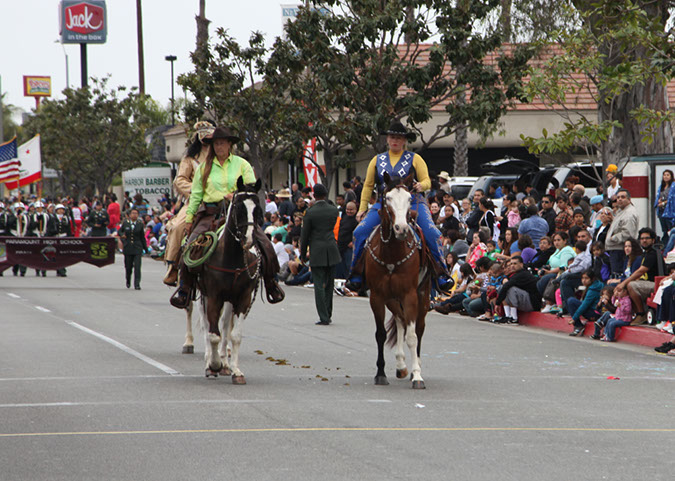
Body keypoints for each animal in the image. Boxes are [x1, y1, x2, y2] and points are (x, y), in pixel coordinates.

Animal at [195, 176, 264, 382]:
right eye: (239, 208)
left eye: (258, 210)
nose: (248, 240)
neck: (233, 260)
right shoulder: (214, 296)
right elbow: (213, 334)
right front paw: (214, 364)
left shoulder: (243, 298)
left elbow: (235, 335)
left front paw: (235, 370)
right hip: (202, 296)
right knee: (208, 326)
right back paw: (211, 360)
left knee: (225, 325)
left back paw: (225, 362)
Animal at [364, 172, 434, 390]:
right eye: (388, 198)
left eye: (410, 199)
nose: (401, 228)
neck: (391, 253)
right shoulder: (377, 296)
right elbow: (380, 334)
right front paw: (380, 374)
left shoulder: (410, 295)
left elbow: (412, 336)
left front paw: (417, 376)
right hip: (392, 299)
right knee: (400, 320)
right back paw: (402, 365)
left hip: (422, 296)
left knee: (418, 328)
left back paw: (413, 368)